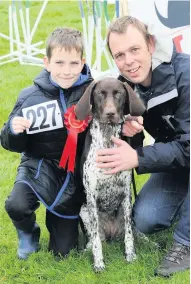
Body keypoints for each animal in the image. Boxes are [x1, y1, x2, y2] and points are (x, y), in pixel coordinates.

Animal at [74, 76, 145, 272]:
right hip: (84, 211)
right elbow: (96, 241)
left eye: (118, 93)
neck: (107, 140)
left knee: (132, 230)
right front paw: (98, 262)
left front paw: (131, 255)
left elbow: (129, 235)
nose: (110, 113)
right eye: (100, 93)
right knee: (95, 237)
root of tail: (112, 233)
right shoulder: (91, 195)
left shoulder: (126, 193)